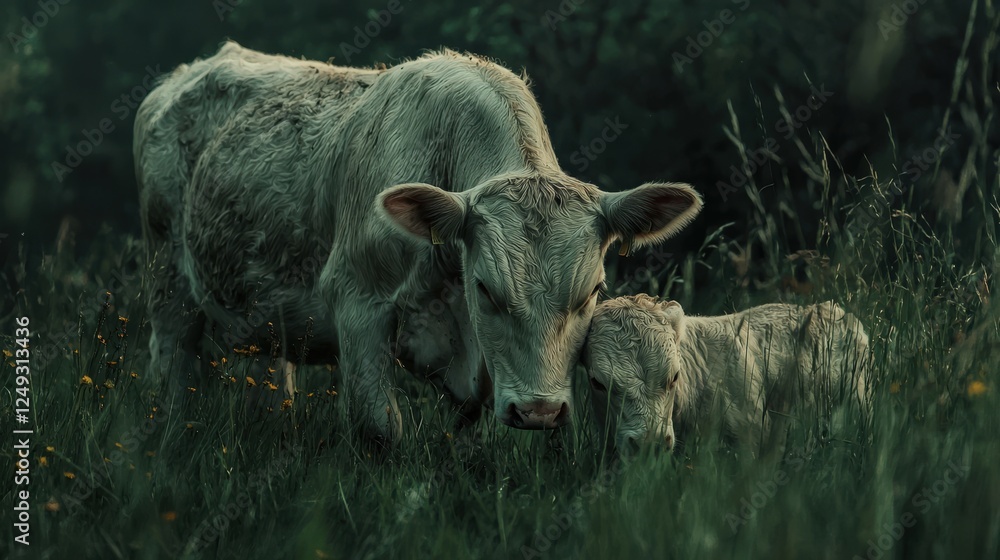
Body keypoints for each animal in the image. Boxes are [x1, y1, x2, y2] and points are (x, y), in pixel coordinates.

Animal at [133, 42, 703, 442]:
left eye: (591, 292)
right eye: (486, 290)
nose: (539, 411)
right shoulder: (358, 301)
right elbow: (381, 428)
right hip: (166, 276)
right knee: (170, 362)